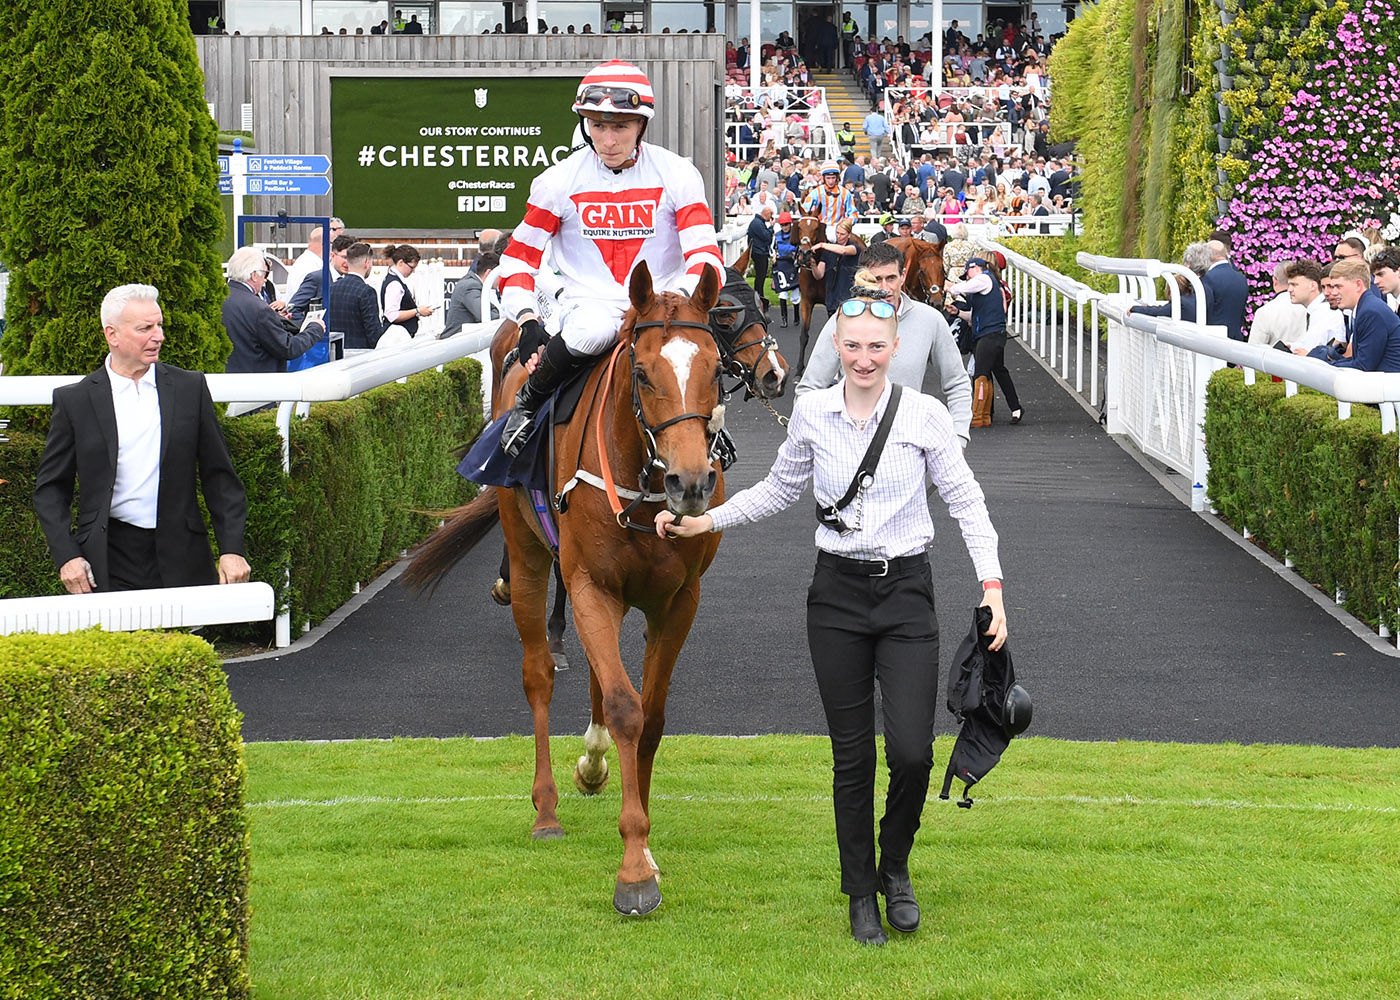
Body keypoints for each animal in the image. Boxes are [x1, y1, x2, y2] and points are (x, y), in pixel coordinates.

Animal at [403, 262, 730, 917]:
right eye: (642, 372)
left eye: (713, 369)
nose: (690, 484)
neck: (642, 484)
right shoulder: (587, 583)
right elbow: (628, 708)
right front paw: (634, 870)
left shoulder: (678, 600)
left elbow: (650, 715)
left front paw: (641, 838)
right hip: (531, 556)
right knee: (539, 674)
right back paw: (547, 810)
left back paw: (594, 764)